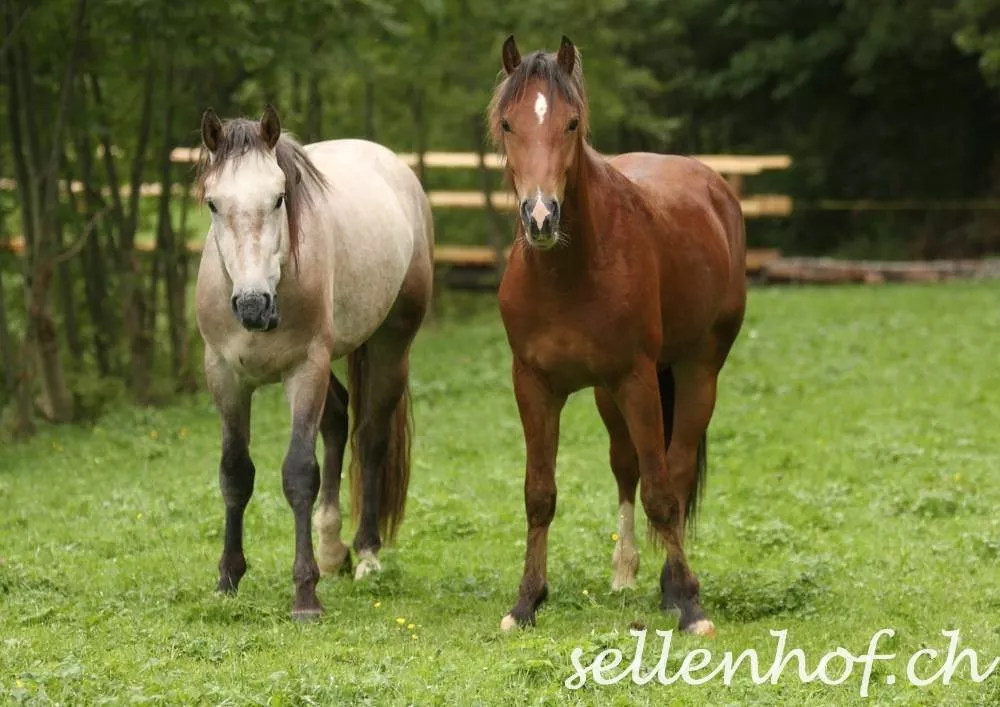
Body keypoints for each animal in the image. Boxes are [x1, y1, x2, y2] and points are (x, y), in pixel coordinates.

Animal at [194, 105, 434, 619]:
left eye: (279, 198)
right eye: (212, 204)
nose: (252, 306)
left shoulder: (305, 370)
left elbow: (299, 473)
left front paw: (305, 595)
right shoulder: (224, 376)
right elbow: (235, 473)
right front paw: (227, 579)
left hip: (389, 347)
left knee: (370, 438)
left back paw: (365, 554)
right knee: (339, 419)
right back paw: (331, 549)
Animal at [488, 37, 746, 636]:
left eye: (571, 123)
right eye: (508, 124)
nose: (540, 217)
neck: (569, 271)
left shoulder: (636, 380)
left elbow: (662, 493)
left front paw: (690, 605)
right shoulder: (533, 385)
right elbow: (539, 493)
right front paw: (527, 601)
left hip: (697, 372)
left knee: (673, 469)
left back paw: (670, 586)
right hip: (609, 395)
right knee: (625, 465)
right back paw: (625, 570)